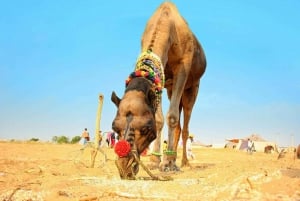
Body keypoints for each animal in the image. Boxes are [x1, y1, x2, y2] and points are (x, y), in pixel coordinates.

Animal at [110, 1, 206, 179]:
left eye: (146, 128)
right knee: (179, 125)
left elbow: (172, 117)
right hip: (170, 89)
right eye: (114, 127)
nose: (125, 167)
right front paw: (155, 161)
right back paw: (172, 159)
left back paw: (183, 162)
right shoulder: (159, 83)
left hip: (193, 87)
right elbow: (160, 118)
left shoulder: (183, 66)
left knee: (185, 125)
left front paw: (167, 164)